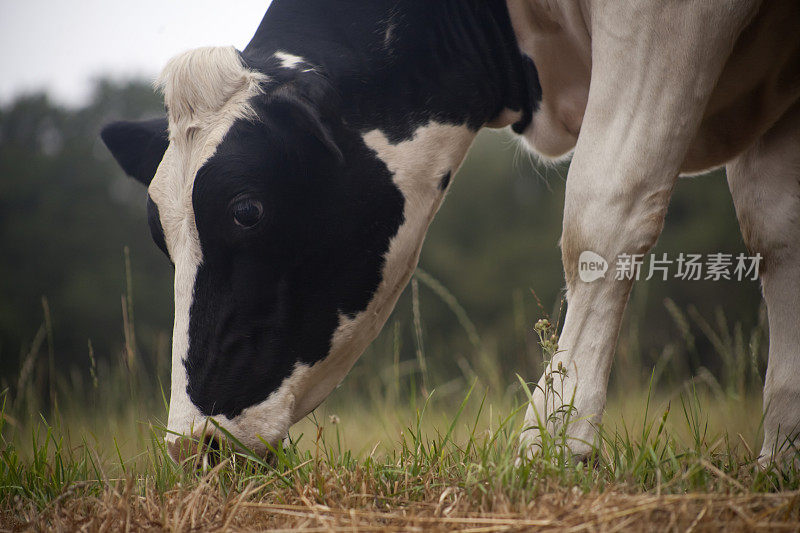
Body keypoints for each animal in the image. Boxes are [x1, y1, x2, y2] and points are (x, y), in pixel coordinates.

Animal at [100, 0, 800, 464]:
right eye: (160, 236)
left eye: (246, 209)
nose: (194, 445)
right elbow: (778, 236)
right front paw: (780, 463)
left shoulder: (665, 21)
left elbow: (605, 207)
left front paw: (550, 449)